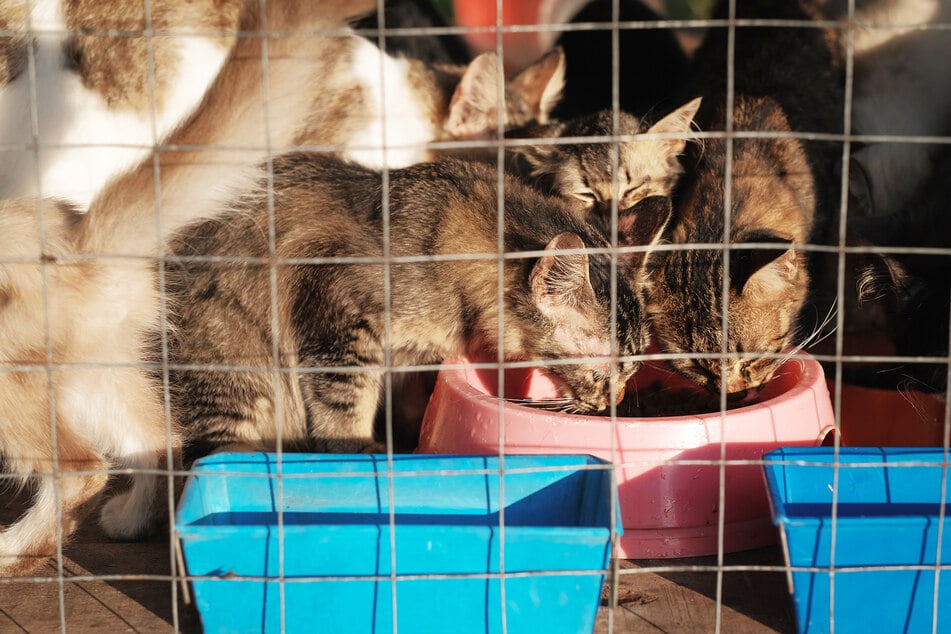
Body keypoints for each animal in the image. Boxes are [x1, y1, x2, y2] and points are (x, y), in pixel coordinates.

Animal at [160, 154, 672, 460]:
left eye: (631, 372)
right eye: (601, 373)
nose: (613, 403)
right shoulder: (335, 320)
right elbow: (343, 405)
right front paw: (360, 449)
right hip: (233, 366)